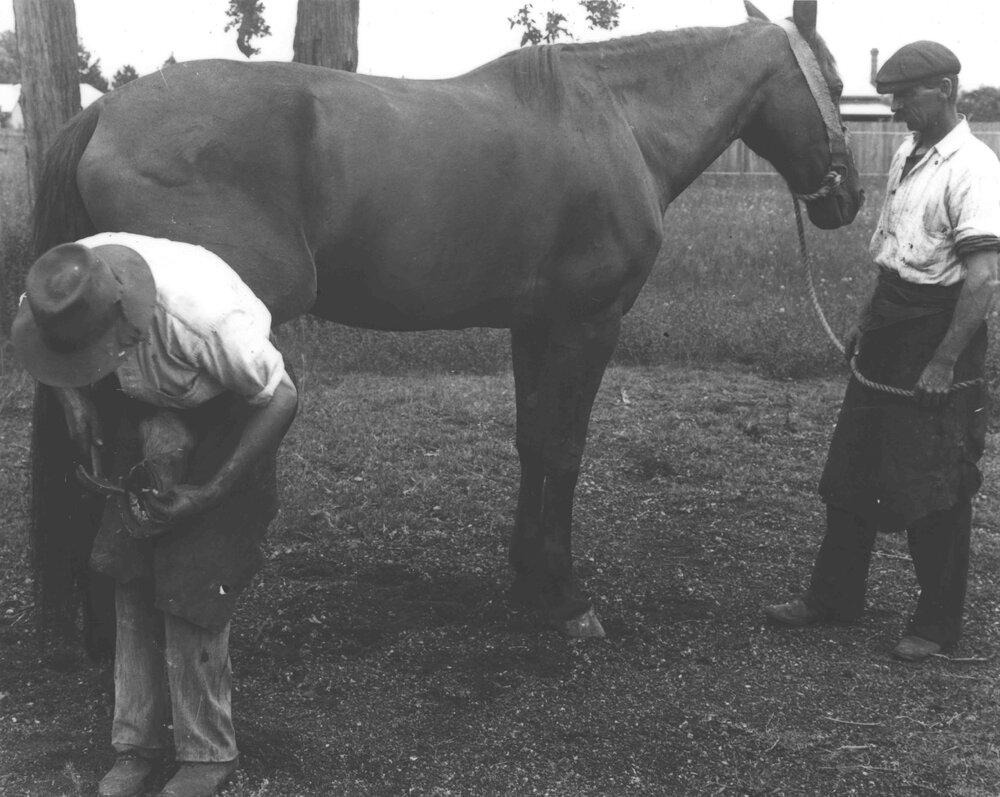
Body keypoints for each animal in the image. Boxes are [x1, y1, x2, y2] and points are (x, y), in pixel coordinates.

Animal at [28, 0, 862, 652]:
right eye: (833, 84)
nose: (846, 198)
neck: (616, 121)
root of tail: (103, 113)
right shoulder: (587, 324)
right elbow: (564, 448)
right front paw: (567, 600)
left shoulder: (536, 326)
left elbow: (533, 443)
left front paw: (528, 581)